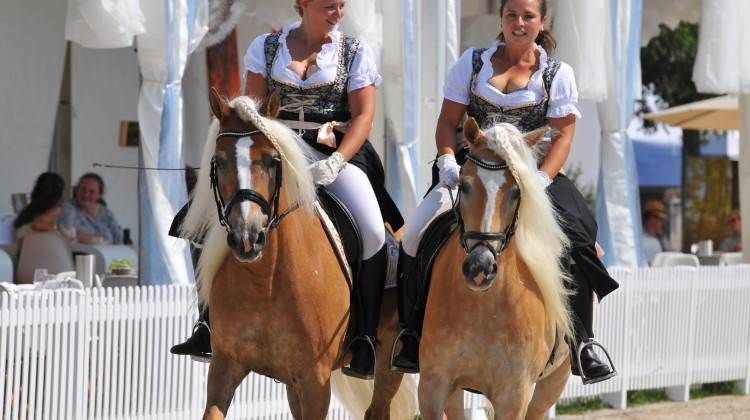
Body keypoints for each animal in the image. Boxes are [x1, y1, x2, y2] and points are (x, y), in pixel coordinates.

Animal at [180, 88, 415, 420]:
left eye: (272, 161)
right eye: (220, 161)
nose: (246, 238)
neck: (265, 280)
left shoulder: (315, 381)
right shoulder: (225, 366)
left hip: (387, 365)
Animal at [416, 118, 573, 420]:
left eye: (517, 192)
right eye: (464, 185)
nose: (480, 268)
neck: (483, 307)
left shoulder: (514, 394)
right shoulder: (433, 383)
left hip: (556, 379)